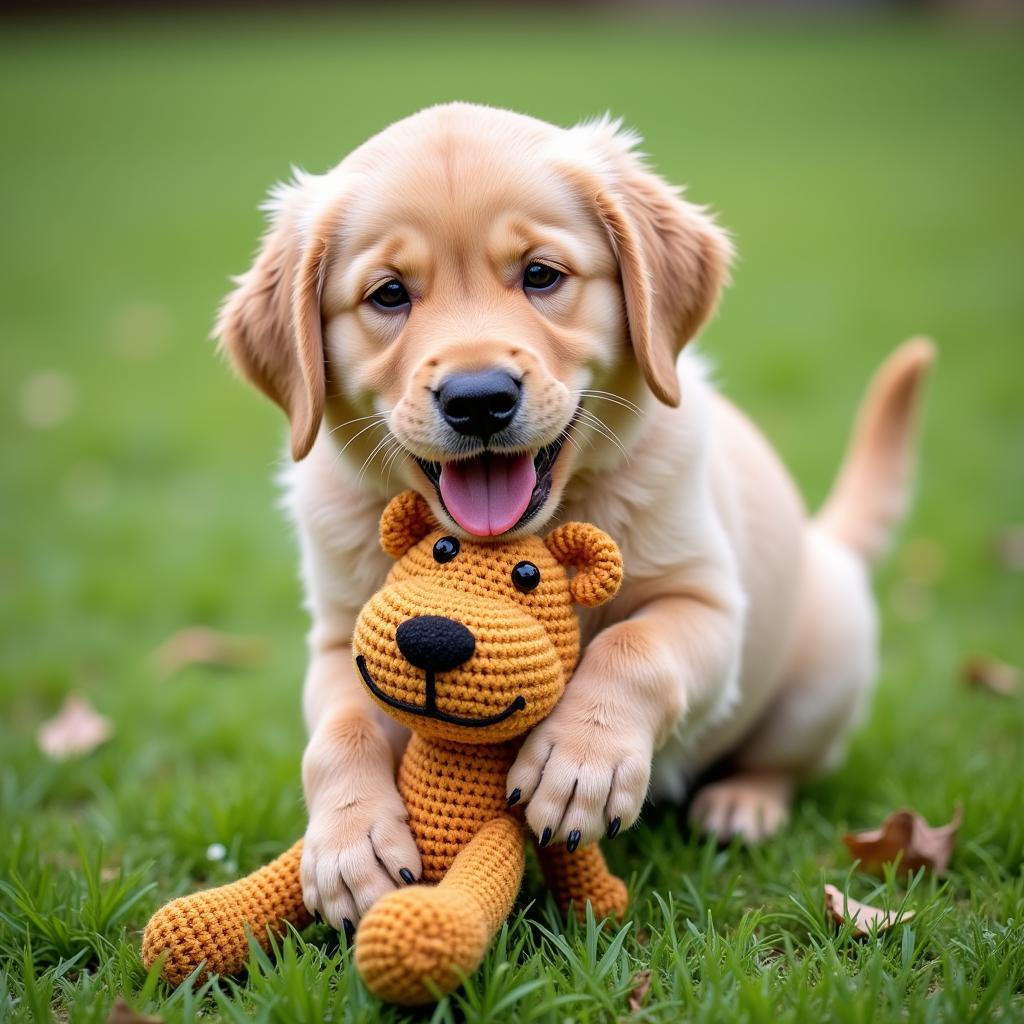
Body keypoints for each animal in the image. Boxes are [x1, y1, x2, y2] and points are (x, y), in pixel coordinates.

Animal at [218, 101, 937, 929]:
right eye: (389, 295)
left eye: (541, 275)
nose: (478, 399)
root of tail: (830, 547)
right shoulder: (340, 637)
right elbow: (340, 729)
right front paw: (348, 839)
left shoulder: (708, 600)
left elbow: (635, 646)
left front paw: (581, 760)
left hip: (825, 674)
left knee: (784, 761)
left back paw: (741, 803)